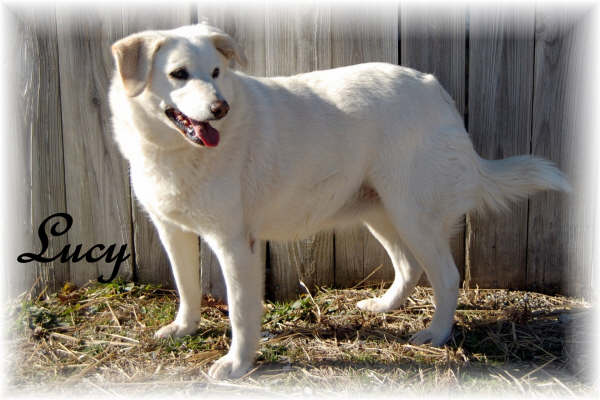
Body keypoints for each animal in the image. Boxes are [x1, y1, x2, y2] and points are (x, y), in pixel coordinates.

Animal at [109, 21, 572, 378]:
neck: (175, 151)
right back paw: (384, 306)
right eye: (179, 74)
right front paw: (184, 329)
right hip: (381, 212)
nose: (219, 108)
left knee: (446, 276)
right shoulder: (172, 232)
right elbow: (186, 288)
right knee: (409, 267)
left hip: (412, 215)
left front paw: (237, 364)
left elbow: (241, 313)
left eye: (217, 72)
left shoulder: (235, 244)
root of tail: (434, 88)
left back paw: (436, 335)